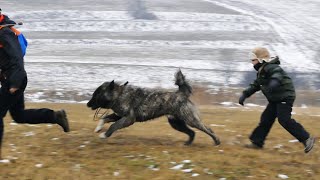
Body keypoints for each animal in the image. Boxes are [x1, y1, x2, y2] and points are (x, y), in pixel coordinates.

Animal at [87, 69, 220, 146]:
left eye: (97, 94)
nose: (87, 104)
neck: (119, 95)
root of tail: (181, 94)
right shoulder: (118, 116)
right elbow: (104, 118)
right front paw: (98, 128)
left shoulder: (128, 119)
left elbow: (113, 126)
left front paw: (104, 135)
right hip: (176, 123)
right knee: (192, 132)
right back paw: (188, 143)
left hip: (190, 120)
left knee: (208, 129)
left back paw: (217, 141)